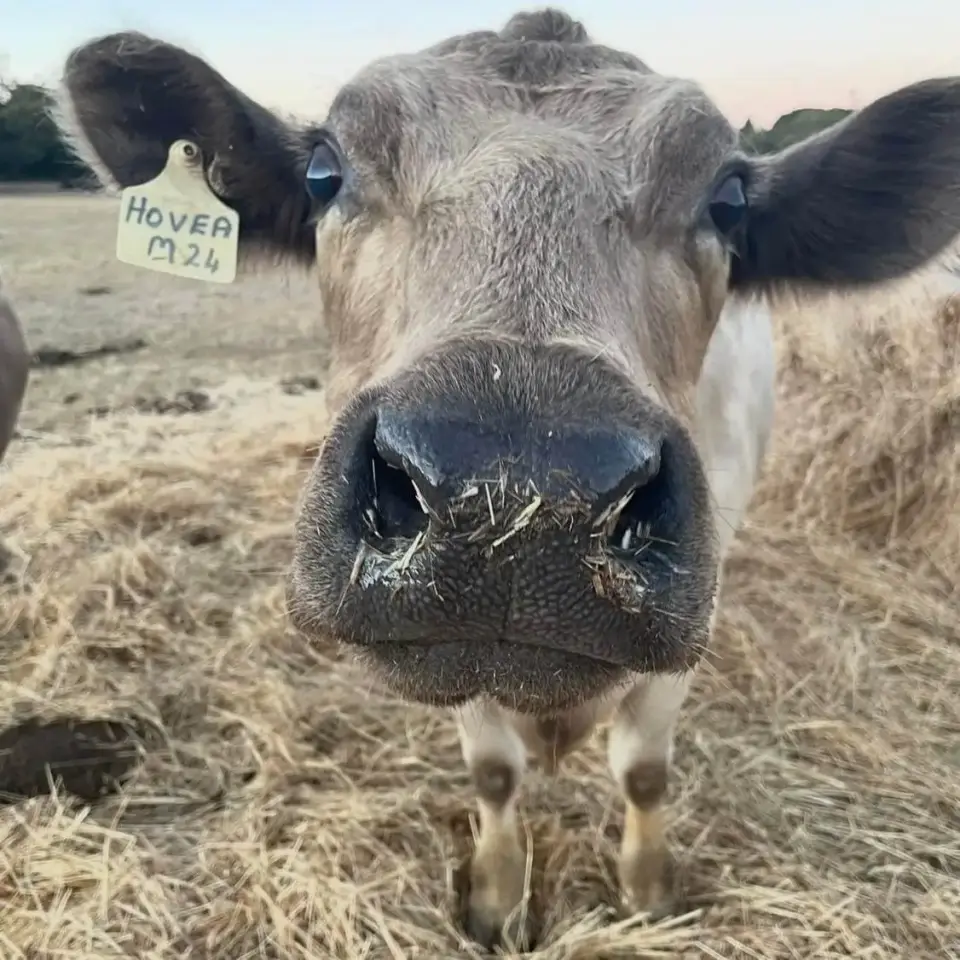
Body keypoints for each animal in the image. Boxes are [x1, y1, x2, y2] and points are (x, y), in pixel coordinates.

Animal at [55, 9, 960, 947]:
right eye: (324, 173)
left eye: (729, 200)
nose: (518, 495)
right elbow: (493, 773)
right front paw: (495, 899)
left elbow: (644, 770)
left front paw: (646, 893)